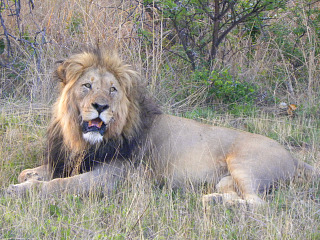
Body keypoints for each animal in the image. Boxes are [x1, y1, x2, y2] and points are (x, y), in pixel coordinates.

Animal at [7, 49, 318, 206]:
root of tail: (294, 157)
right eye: (87, 86)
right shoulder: (70, 160)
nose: (100, 106)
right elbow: (35, 172)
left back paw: (215, 204)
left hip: (246, 164)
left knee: (259, 203)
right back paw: (214, 199)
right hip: (226, 179)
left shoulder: (113, 177)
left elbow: (59, 185)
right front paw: (29, 176)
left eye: (113, 89)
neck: (83, 140)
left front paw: (20, 190)